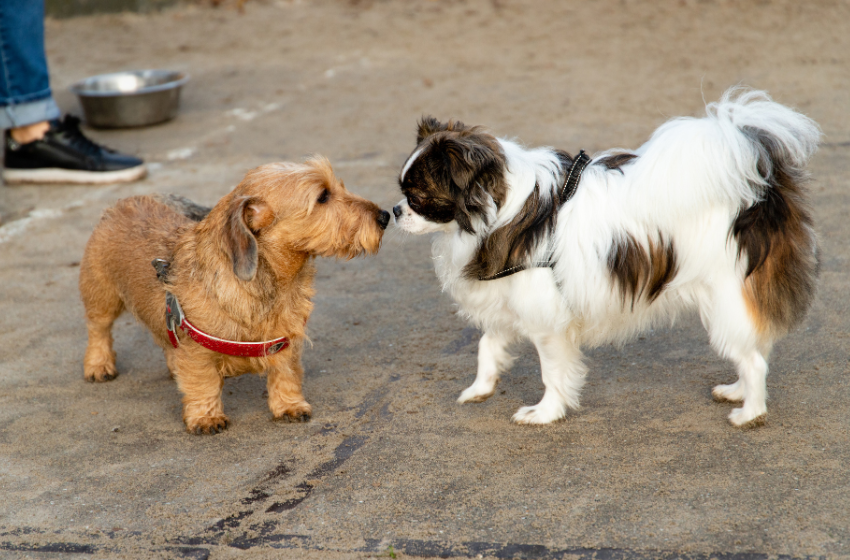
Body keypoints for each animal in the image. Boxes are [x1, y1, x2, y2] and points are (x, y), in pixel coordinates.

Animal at [79, 158, 388, 434]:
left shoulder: (285, 338)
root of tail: (124, 202)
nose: (385, 216)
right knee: (98, 329)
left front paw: (289, 405)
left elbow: (286, 373)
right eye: (323, 196)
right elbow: (203, 382)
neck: (274, 283)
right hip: (102, 295)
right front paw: (205, 417)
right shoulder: (196, 350)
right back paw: (98, 364)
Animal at [394, 89, 820, 426]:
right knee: (755, 346)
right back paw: (736, 391)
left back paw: (749, 413)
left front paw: (544, 413)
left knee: (755, 359)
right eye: (403, 192)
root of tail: (761, 187)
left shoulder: (547, 321)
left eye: (418, 196)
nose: (396, 211)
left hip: (724, 297)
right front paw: (480, 388)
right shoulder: (511, 300)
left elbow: (552, 374)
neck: (502, 211)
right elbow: (487, 346)